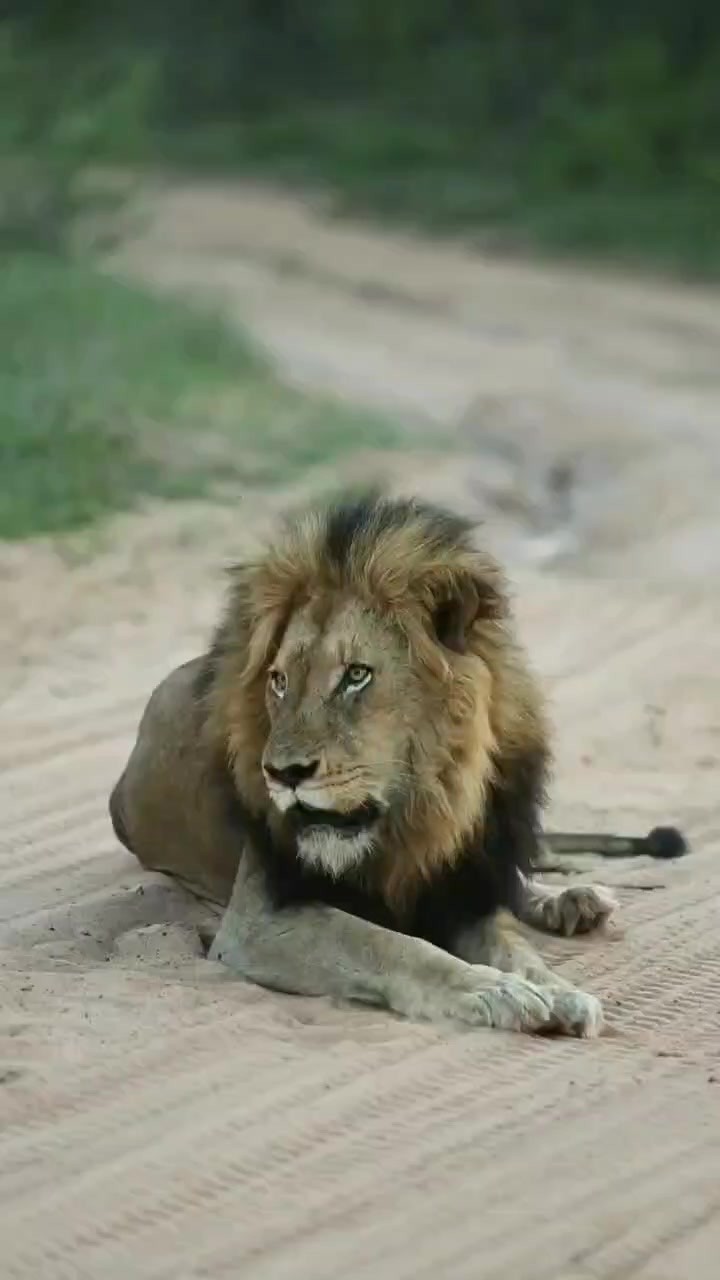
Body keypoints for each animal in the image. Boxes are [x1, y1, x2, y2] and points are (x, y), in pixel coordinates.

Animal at [109, 493, 685, 1037]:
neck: (415, 816)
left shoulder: (460, 888)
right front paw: (495, 992)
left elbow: (513, 943)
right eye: (279, 681)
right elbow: (392, 946)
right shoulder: (258, 920)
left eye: (356, 675)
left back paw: (573, 901)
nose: (283, 774)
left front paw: (559, 991)